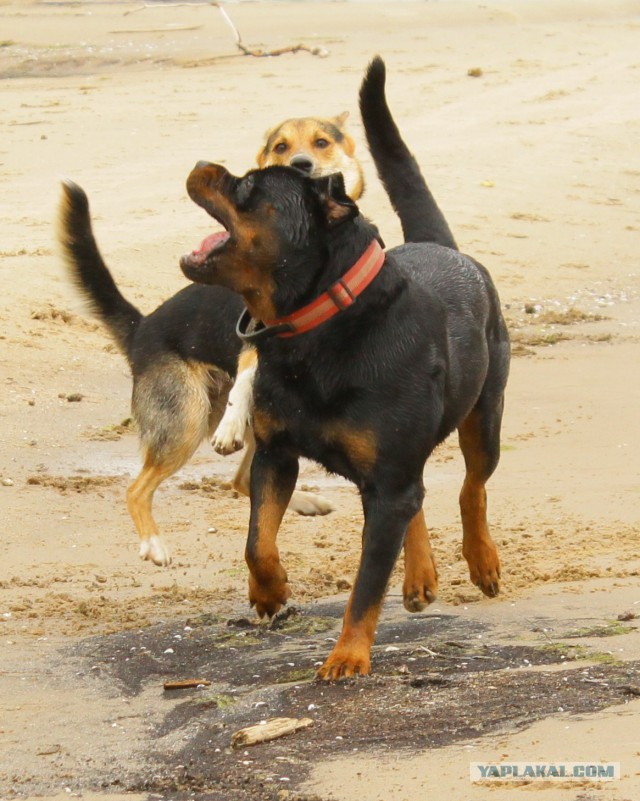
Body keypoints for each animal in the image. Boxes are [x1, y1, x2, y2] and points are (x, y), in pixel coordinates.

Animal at [180, 57, 510, 680]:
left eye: (246, 186)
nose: (199, 162)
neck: (314, 332)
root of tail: (440, 245)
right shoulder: (277, 454)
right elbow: (257, 542)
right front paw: (269, 592)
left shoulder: (385, 480)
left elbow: (366, 583)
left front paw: (348, 655)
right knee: (422, 497)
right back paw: (421, 573)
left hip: (485, 413)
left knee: (472, 486)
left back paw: (481, 560)